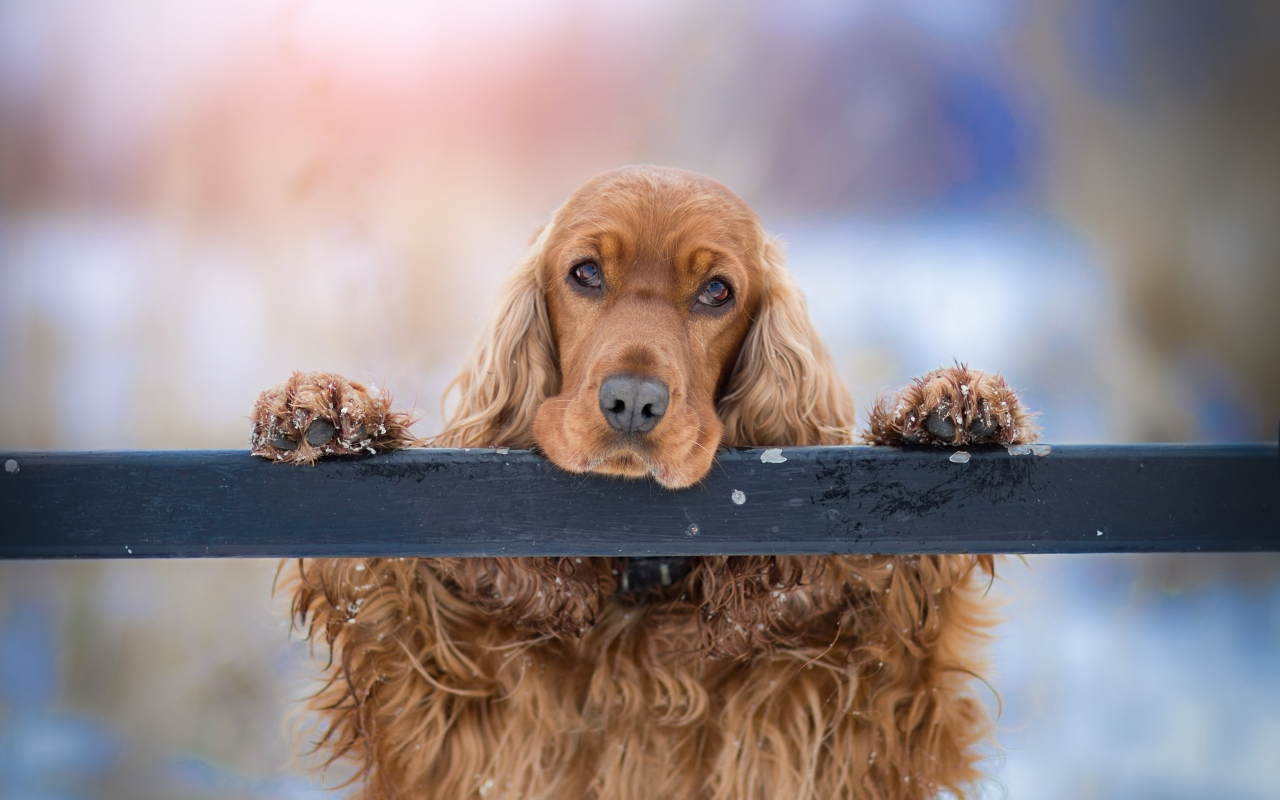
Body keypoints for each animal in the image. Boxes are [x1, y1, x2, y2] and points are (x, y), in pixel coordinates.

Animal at [252, 165, 1039, 798]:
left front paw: (949, 408)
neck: (639, 583)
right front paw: (327, 411)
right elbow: (388, 598)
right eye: (585, 273)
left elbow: (910, 629)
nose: (632, 401)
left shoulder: (855, 717)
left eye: (718, 291)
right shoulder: (444, 715)